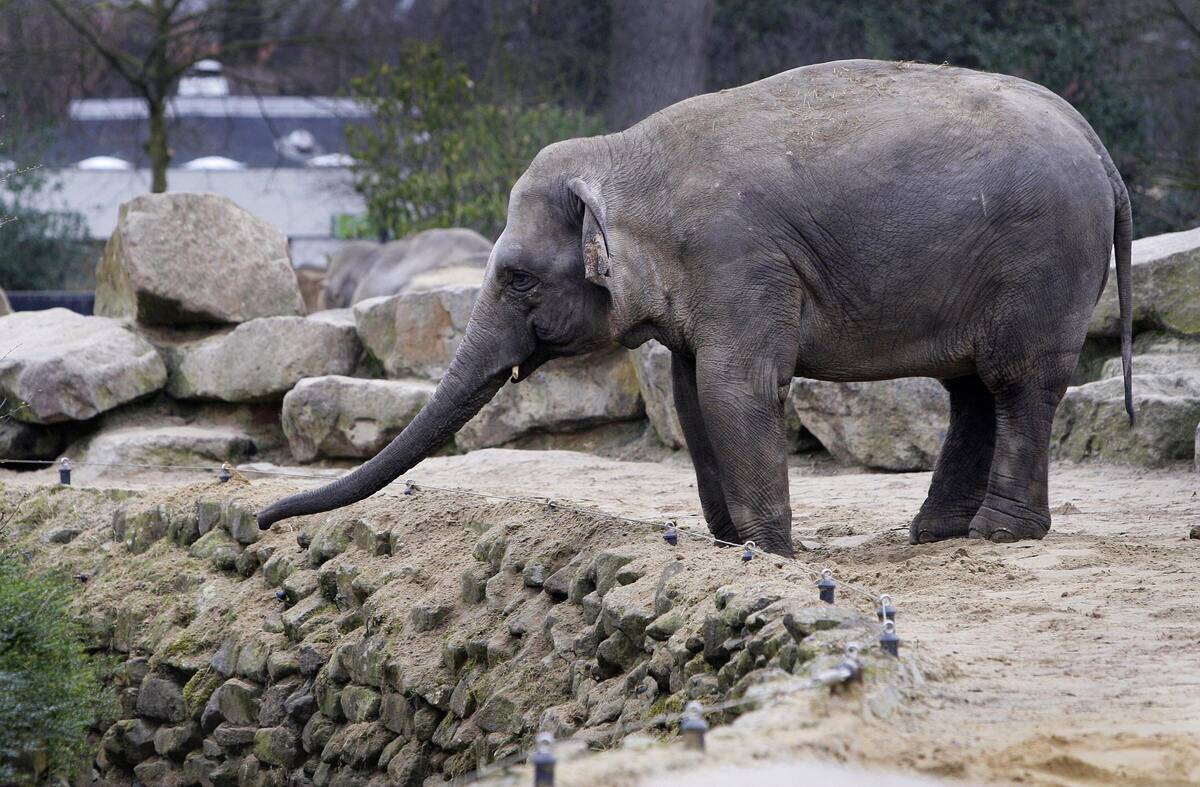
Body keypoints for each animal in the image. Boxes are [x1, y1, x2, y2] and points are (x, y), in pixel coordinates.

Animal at [259, 59, 1133, 557]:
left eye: (516, 278)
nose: (268, 521)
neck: (625, 155)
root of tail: (1101, 149)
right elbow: (688, 394)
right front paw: (732, 542)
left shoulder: (737, 259)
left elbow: (734, 388)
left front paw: (774, 554)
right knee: (969, 387)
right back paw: (935, 535)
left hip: (1041, 260)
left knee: (1015, 381)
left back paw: (999, 534)